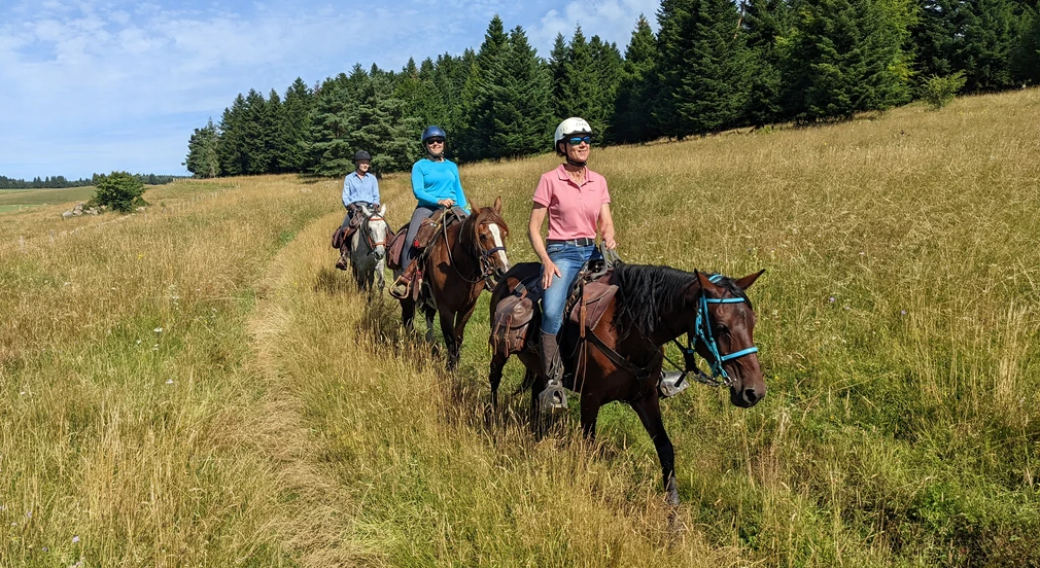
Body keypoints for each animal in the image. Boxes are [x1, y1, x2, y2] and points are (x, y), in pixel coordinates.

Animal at [399, 196, 509, 368]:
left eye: (504, 233)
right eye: (483, 236)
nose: (503, 270)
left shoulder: (468, 308)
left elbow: (457, 339)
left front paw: (454, 367)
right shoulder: (446, 310)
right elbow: (450, 341)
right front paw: (450, 370)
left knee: (428, 317)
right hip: (407, 296)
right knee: (408, 320)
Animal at [486, 261, 765, 503]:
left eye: (753, 321)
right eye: (721, 327)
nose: (754, 392)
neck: (628, 332)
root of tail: (512, 270)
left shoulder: (645, 397)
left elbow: (665, 448)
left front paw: (673, 509)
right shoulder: (590, 398)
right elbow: (588, 448)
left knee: (537, 393)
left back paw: (536, 435)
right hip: (500, 353)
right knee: (494, 379)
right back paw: (490, 421)